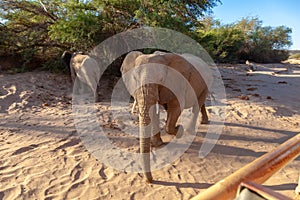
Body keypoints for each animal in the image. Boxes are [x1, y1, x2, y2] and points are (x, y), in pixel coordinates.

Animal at [119, 50, 211, 183]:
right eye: (135, 78)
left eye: (161, 79)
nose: (151, 180)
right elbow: (153, 112)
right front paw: (158, 144)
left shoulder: (178, 84)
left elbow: (176, 107)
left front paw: (179, 130)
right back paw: (203, 122)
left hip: (206, 83)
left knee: (197, 105)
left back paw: (190, 130)